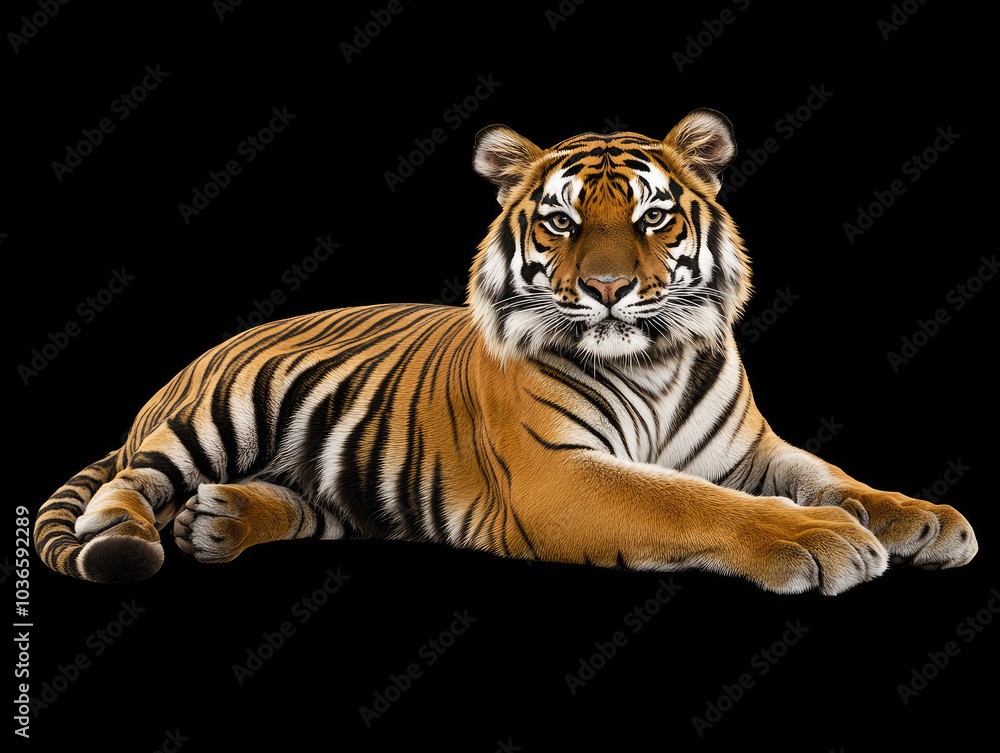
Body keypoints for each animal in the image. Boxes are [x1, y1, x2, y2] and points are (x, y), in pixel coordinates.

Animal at [34, 108, 978, 595]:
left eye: (652, 217)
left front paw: (923, 519)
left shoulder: (749, 449)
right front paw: (825, 539)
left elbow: (832, 475)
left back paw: (222, 519)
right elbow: (690, 502)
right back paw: (126, 536)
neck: (655, 360)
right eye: (561, 220)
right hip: (209, 416)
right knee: (130, 481)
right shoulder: (558, 473)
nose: (607, 287)